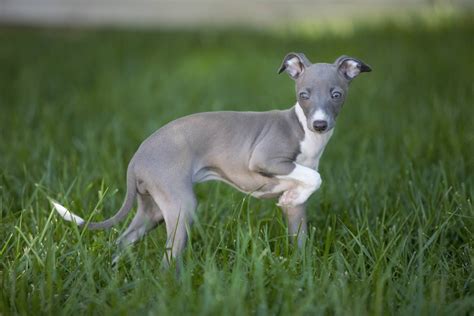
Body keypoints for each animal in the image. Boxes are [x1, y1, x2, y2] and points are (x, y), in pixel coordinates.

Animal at [51, 53, 370, 266]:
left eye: (336, 95)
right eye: (304, 95)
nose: (320, 124)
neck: (303, 131)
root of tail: (136, 158)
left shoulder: (297, 210)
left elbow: (300, 228)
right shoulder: (264, 160)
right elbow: (314, 176)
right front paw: (292, 192)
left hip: (153, 208)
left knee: (124, 240)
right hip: (181, 206)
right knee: (168, 257)